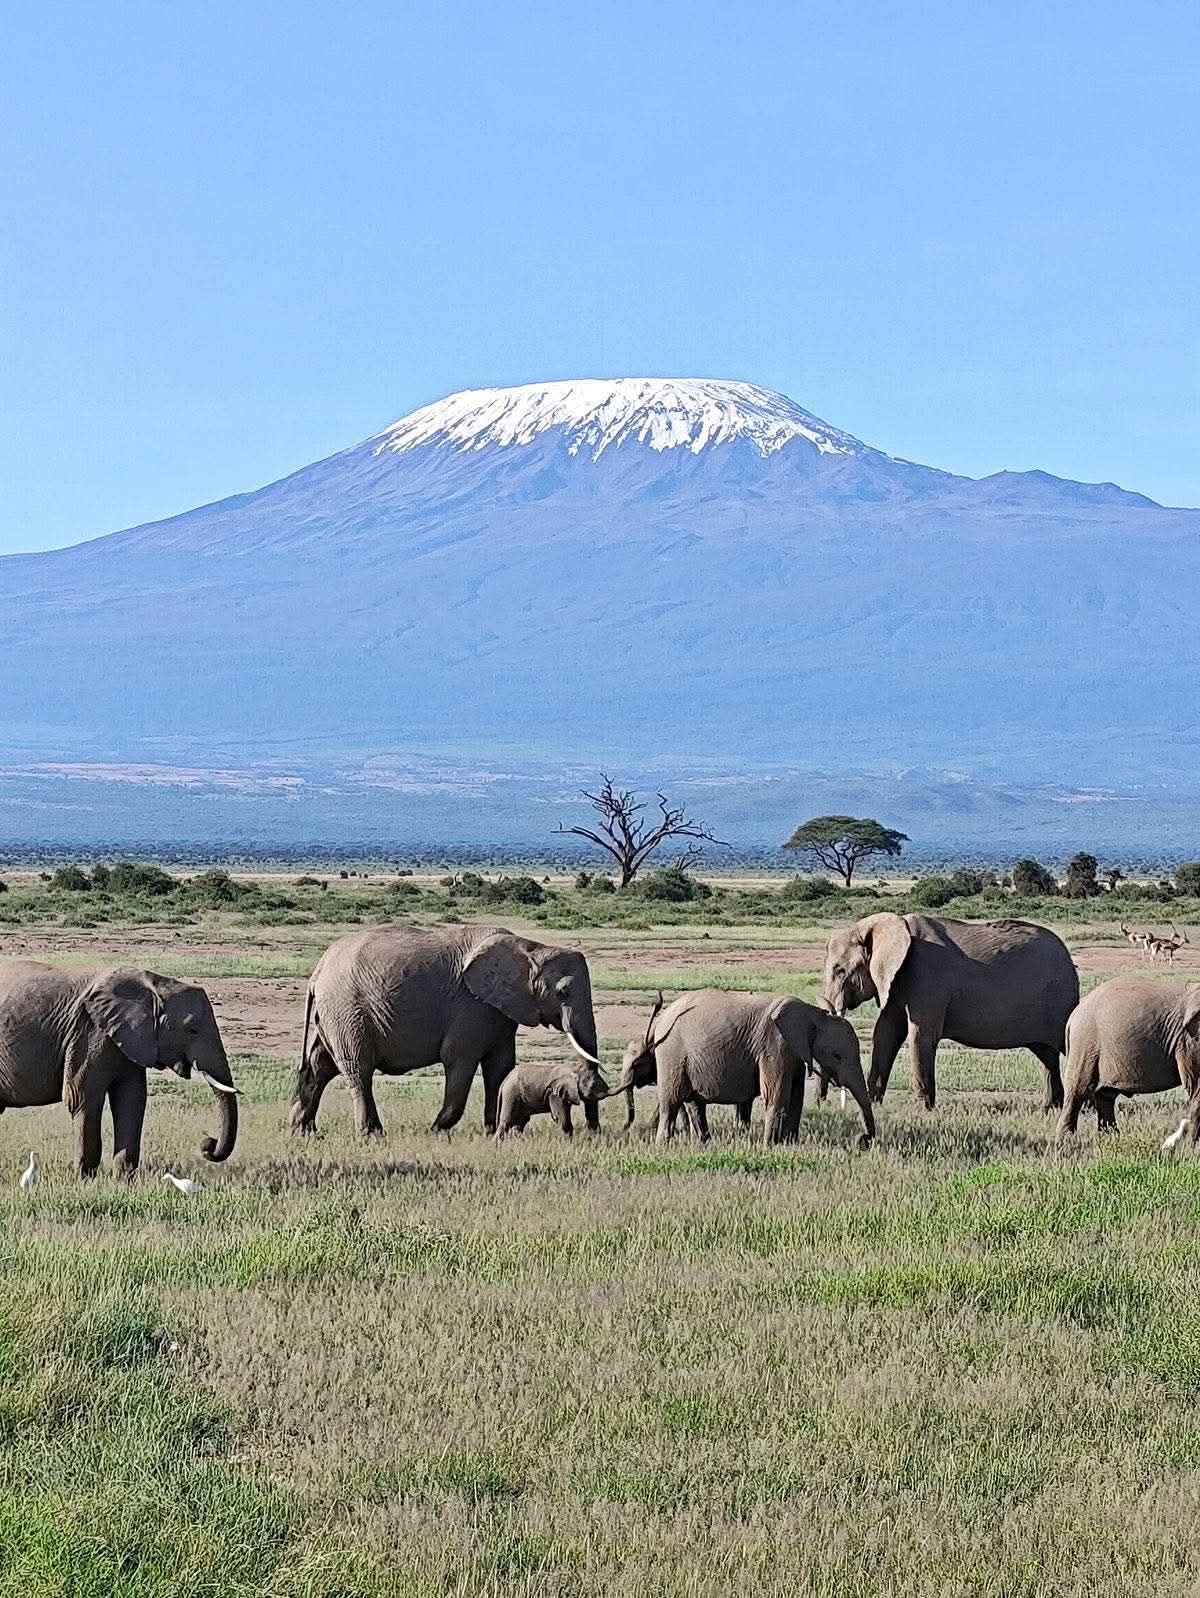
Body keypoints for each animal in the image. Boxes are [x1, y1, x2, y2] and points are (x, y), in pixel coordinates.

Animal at [0, 960, 238, 1178]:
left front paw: (123, 1179)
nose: (208, 1144)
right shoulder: (91, 1033)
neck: (155, 988)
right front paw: (85, 1179)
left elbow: (131, 1099)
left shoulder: (130, 1039)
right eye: (192, 1030)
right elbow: (82, 1097)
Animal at [291, 925, 600, 1138]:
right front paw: (437, 1131)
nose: (593, 1131)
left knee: (319, 1067)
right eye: (563, 992)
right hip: (347, 1011)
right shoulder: (471, 1005)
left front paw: (494, 1132)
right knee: (358, 1070)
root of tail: (317, 973)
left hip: (333, 1015)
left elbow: (500, 1068)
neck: (531, 949)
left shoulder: (498, 1010)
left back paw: (302, 1131)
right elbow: (459, 1060)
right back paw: (372, 1135)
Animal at [618, 989, 875, 1148]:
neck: (812, 1014)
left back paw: (703, 1143)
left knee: (694, 1104)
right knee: (672, 1101)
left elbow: (796, 1097)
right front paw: (769, 1146)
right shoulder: (775, 1044)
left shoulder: (793, 1054)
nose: (863, 1140)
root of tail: (661, 1021)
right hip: (672, 1054)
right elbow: (776, 1096)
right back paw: (664, 1144)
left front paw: (789, 1144)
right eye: (837, 1056)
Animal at [823, 914, 1078, 1112]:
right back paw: (1051, 1107)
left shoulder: (926, 974)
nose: (825, 1101)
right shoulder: (895, 981)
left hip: (1061, 997)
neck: (889, 923)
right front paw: (873, 1105)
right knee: (1046, 1054)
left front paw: (923, 1111)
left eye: (839, 971)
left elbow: (920, 1035)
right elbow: (886, 1033)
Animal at [1058, 979, 1200, 1151]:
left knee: (1105, 1096)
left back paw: (1110, 1139)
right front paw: (1192, 1148)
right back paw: (1065, 1144)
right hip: (1085, 1043)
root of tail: (1073, 1016)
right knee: (1078, 1091)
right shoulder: (1190, 1042)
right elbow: (1197, 1088)